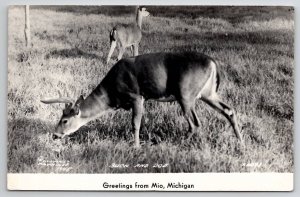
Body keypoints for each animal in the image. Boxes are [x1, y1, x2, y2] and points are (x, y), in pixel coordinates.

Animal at [41, 51, 244, 147]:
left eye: (64, 120)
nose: (55, 135)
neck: (111, 95)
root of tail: (213, 62)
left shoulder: (137, 96)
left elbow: (135, 123)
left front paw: (136, 147)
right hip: (208, 93)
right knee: (229, 110)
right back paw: (240, 141)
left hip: (185, 94)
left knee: (195, 123)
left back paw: (179, 143)